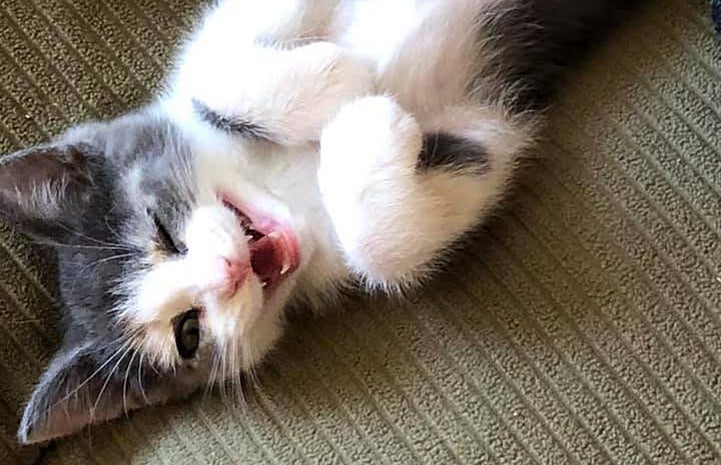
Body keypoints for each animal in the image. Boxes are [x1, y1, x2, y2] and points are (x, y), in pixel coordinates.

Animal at [0, 0, 632, 442]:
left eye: (161, 228)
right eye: (188, 334)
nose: (229, 271)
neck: (283, 188)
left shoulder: (216, 53)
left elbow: (211, 74)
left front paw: (339, 79)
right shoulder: (483, 132)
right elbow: (391, 249)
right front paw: (366, 122)